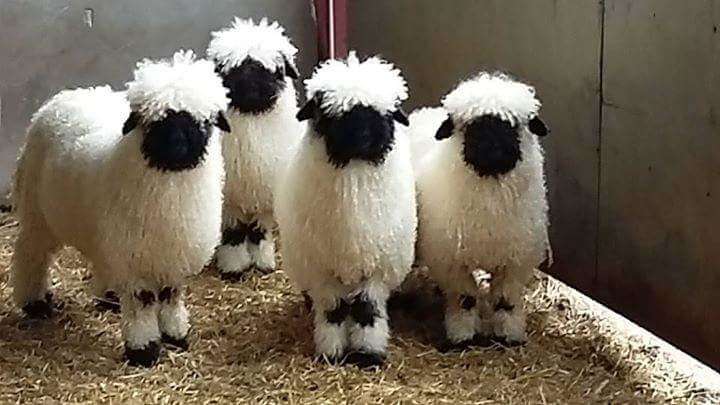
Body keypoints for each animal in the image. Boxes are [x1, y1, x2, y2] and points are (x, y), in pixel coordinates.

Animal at [11, 50, 231, 366]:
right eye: (153, 120)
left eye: (202, 120)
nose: (177, 145)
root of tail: (67, 95)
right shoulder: (135, 261)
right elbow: (142, 304)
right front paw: (144, 350)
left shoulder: (173, 257)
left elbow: (171, 296)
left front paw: (176, 336)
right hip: (37, 214)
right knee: (31, 255)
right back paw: (35, 303)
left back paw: (109, 297)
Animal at [205, 17, 304, 280]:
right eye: (233, 69)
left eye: (272, 69)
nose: (251, 87)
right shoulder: (229, 201)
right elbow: (233, 234)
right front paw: (233, 267)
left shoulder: (266, 195)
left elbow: (260, 231)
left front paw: (263, 262)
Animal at [274, 51, 416, 366]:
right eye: (331, 115)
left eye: (384, 114)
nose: (363, 137)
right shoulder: (323, 269)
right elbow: (334, 310)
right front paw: (331, 352)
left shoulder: (377, 267)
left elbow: (366, 310)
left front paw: (368, 354)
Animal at [410, 72, 552, 348]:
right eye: (470, 126)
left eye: (513, 125)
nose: (492, 148)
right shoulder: (452, 262)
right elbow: (466, 299)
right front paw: (462, 336)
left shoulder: (514, 262)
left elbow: (505, 302)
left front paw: (509, 336)